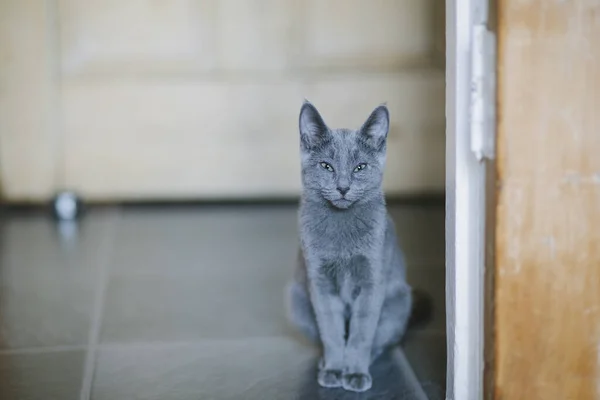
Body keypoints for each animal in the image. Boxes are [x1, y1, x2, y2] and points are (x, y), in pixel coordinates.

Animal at [286, 101, 412, 392]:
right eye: (326, 166)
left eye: (360, 167)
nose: (343, 188)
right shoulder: (319, 282)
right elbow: (332, 332)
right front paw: (334, 368)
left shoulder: (371, 281)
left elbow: (361, 334)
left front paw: (354, 372)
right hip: (296, 299)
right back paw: (325, 364)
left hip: (399, 302)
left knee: (379, 342)